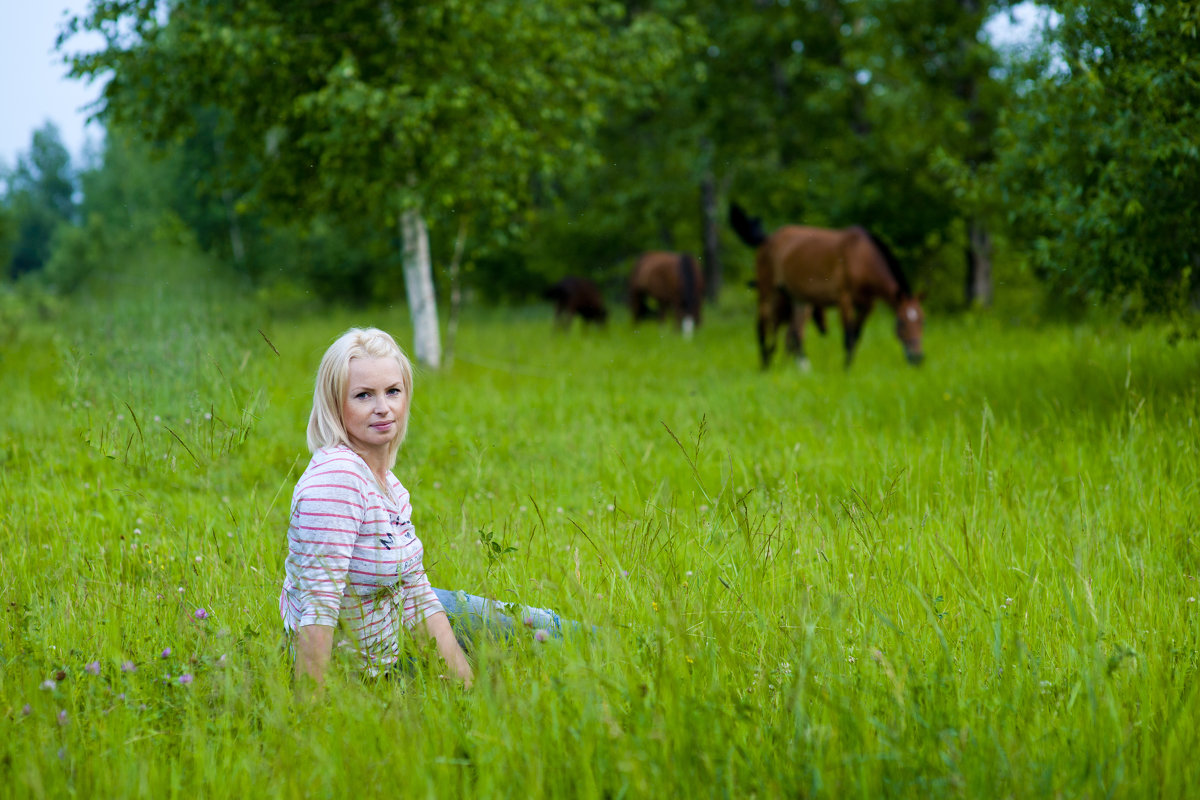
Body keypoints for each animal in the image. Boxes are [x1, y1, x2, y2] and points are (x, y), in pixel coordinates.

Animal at [724, 203, 921, 371]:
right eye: (902, 322)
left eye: (922, 321)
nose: (918, 358)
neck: (862, 257)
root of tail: (768, 238)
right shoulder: (844, 298)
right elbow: (848, 336)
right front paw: (846, 370)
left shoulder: (867, 304)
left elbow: (856, 335)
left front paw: (849, 366)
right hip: (768, 291)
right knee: (763, 325)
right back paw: (766, 364)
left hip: (797, 298)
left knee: (794, 333)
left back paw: (799, 366)